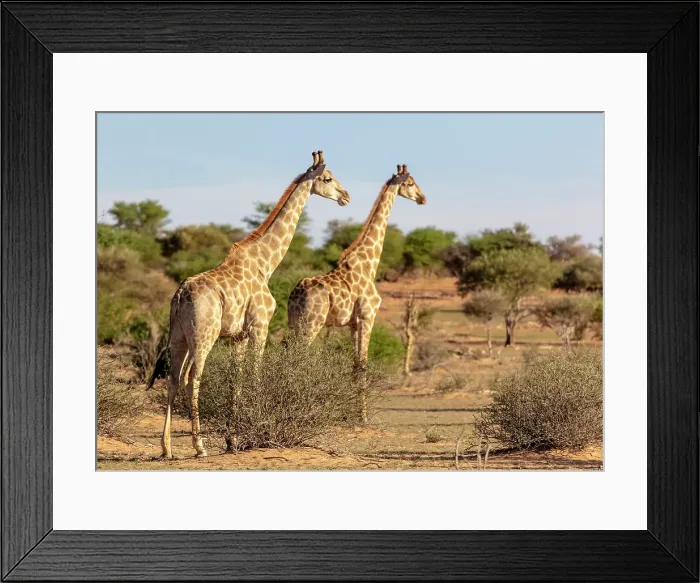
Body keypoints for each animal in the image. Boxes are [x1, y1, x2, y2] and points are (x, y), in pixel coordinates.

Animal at [160, 151, 350, 458]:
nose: (346, 196)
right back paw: (199, 446)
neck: (266, 263)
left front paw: (232, 440)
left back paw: (166, 448)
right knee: (192, 378)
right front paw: (260, 428)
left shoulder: (237, 335)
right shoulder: (260, 325)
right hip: (204, 334)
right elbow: (256, 374)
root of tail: (179, 295)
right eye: (327, 178)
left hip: (178, 336)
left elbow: (235, 381)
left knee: (173, 379)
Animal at [287, 164, 426, 421]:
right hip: (311, 324)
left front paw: (352, 414)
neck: (369, 262)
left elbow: (354, 364)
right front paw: (363, 417)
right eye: (410, 183)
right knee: (296, 358)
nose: (423, 198)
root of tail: (294, 295)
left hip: (293, 323)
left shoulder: (352, 323)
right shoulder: (367, 317)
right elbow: (362, 364)